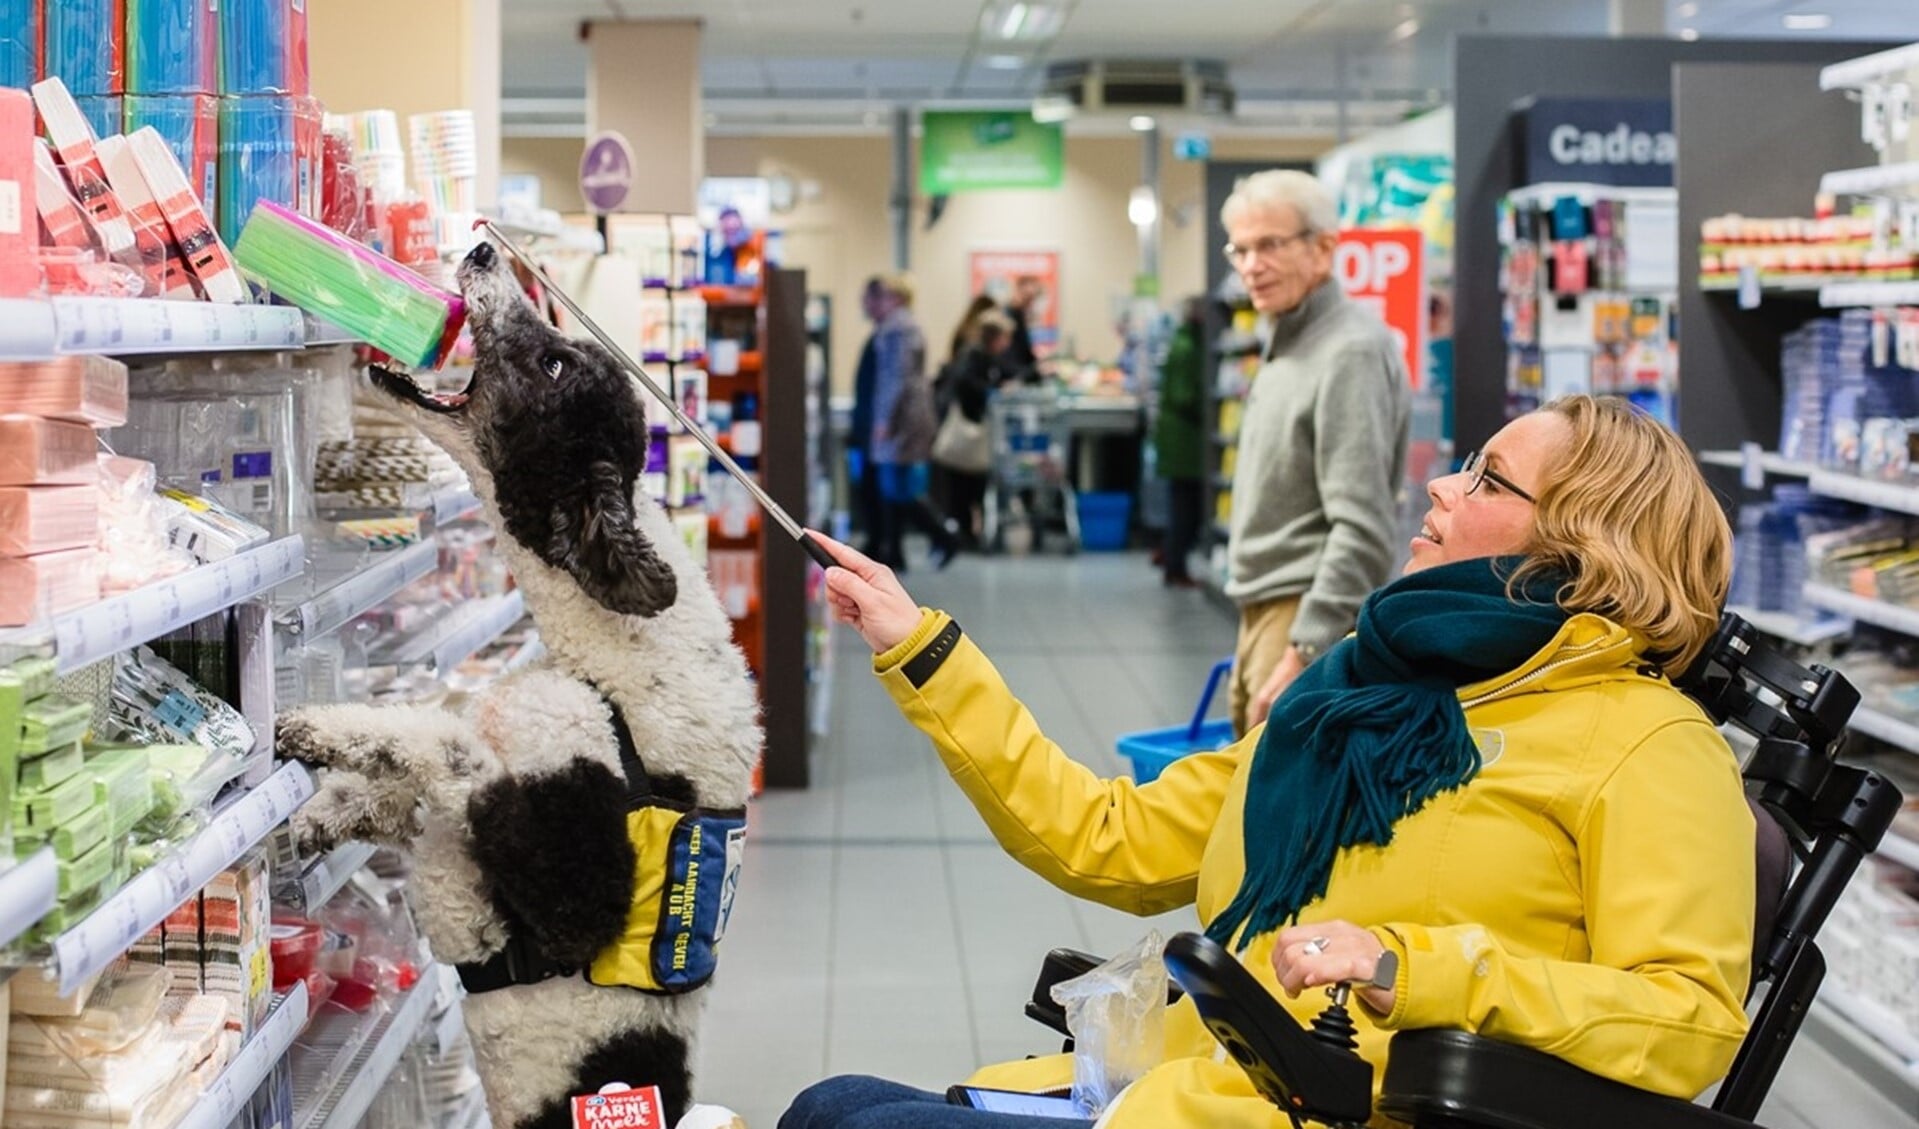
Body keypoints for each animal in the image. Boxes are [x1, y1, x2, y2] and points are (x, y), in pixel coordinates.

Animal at [280, 240, 759, 1129]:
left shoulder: (575, 882)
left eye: (553, 361)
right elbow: (414, 781)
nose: (480, 248)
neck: (611, 667)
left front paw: (323, 728)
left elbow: (449, 747)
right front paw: (331, 811)